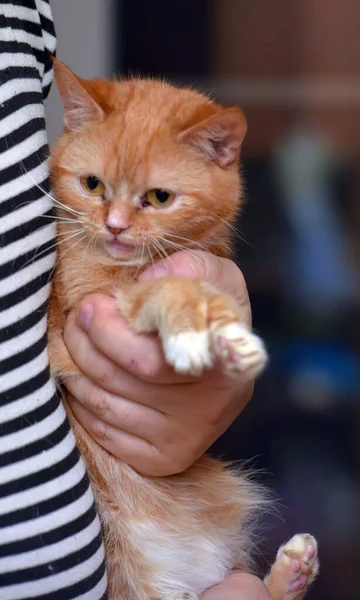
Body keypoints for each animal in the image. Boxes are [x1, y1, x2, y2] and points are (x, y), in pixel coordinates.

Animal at [47, 59, 318, 600]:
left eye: (159, 197)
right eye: (92, 185)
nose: (114, 226)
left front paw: (227, 334)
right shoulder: (88, 302)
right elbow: (165, 289)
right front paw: (194, 329)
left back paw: (293, 572)